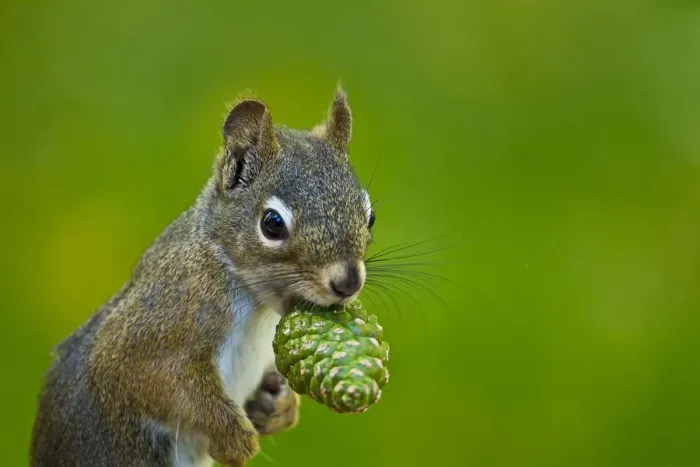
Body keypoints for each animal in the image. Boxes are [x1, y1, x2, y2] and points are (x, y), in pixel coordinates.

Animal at [30, 86, 376, 467]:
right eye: (272, 223)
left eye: (370, 216)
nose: (348, 283)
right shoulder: (168, 310)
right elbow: (150, 376)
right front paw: (233, 437)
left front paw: (281, 407)